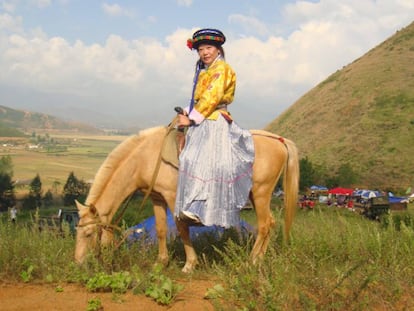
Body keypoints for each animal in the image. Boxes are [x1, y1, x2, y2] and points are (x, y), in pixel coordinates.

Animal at [74, 126, 300, 272]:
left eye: (88, 233)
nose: (78, 262)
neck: (146, 158)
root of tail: (278, 140)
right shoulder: (157, 197)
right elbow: (161, 230)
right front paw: (161, 262)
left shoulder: (173, 196)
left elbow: (182, 228)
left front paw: (190, 264)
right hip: (256, 195)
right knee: (270, 223)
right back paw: (259, 259)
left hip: (261, 192)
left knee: (264, 225)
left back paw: (251, 261)